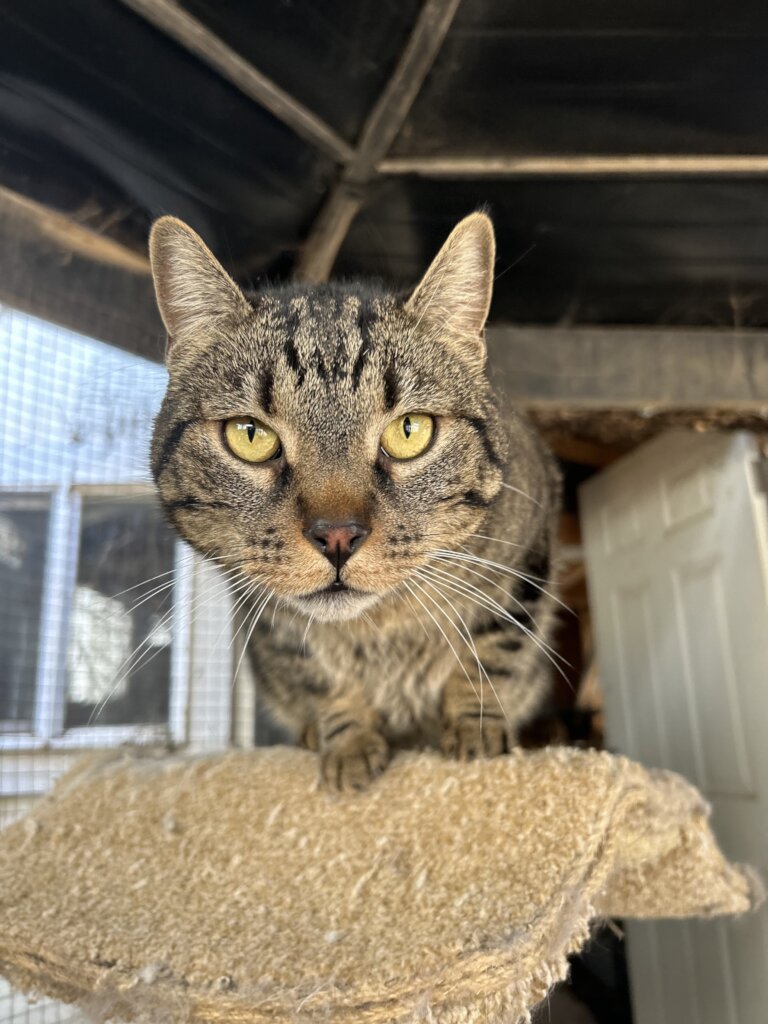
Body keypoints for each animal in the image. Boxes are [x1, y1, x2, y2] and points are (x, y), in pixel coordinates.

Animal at [148, 212, 561, 791]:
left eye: (410, 430)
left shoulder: (529, 551)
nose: (338, 535)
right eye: (250, 435)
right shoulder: (270, 621)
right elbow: (319, 678)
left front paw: (475, 730)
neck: (378, 626)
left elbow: (492, 652)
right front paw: (348, 741)